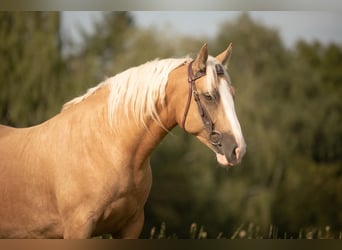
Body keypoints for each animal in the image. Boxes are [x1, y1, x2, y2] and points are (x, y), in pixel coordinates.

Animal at [0, 43, 246, 238]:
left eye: (233, 94)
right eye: (209, 96)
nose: (238, 150)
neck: (107, 147)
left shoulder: (131, 226)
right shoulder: (78, 228)